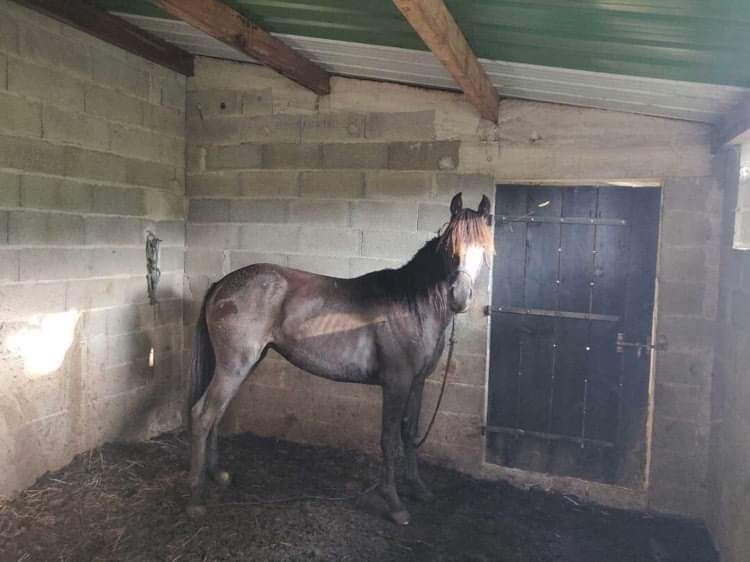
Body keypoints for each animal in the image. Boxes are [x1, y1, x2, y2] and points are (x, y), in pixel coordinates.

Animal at [187, 192, 493, 525]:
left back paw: (218, 474)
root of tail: (221, 284)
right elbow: (389, 439)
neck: (412, 305)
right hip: (234, 365)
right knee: (203, 415)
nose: (459, 297)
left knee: (218, 412)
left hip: (243, 364)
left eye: (484, 249)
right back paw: (197, 497)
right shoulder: (396, 383)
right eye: (450, 247)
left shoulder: (417, 381)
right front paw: (394, 502)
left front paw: (417, 488)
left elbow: (409, 432)